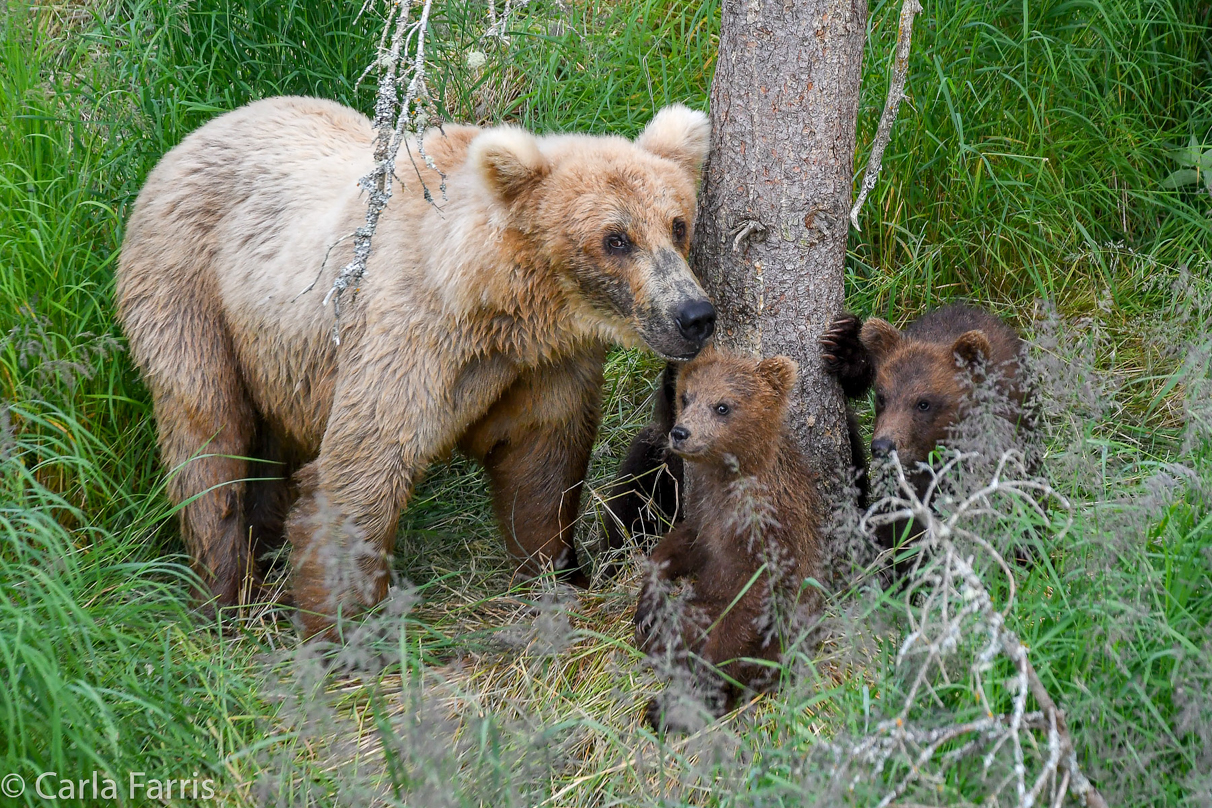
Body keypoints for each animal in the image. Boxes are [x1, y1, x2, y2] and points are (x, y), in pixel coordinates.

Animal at [114, 96, 712, 639]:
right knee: (207, 440)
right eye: (616, 239)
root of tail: (200, 132)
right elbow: (363, 469)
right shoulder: (409, 339)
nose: (694, 315)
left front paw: (558, 573)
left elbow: (542, 465)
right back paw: (227, 595)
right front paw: (344, 629)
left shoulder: (546, 365)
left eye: (677, 225)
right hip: (192, 292)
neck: (495, 307)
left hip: (281, 356)